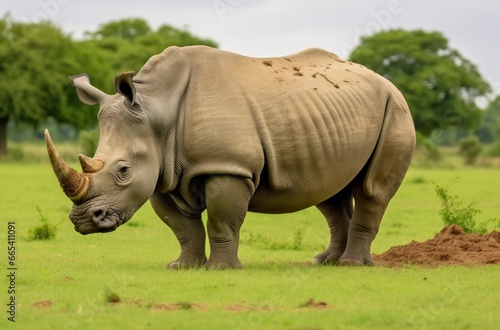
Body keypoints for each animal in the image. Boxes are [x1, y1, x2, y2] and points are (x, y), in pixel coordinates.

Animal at [46, 45, 414, 270]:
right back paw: (325, 261)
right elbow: (182, 227)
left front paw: (221, 269)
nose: (84, 221)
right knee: (328, 192)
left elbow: (221, 220)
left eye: (123, 169)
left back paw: (352, 264)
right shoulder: (163, 175)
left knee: (371, 191)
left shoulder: (228, 167)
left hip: (395, 110)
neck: (157, 110)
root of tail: (385, 81)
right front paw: (183, 266)